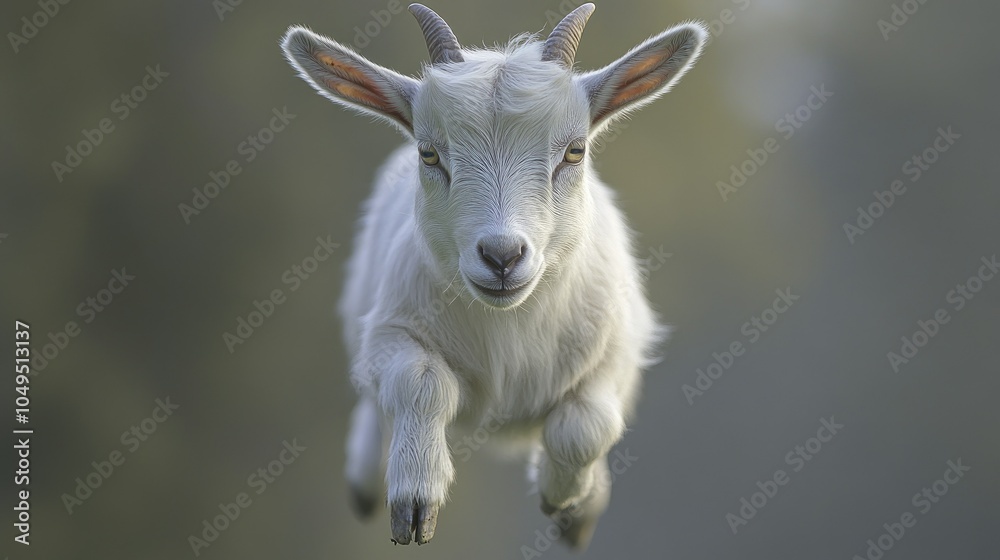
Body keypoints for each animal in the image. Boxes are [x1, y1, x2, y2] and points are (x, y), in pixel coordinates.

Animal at [281, 3, 706, 548]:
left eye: (575, 151)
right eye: (428, 153)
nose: (502, 256)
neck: (509, 327)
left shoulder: (619, 347)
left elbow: (586, 425)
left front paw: (564, 498)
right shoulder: (393, 329)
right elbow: (421, 385)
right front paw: (415, 502)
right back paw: (365, 479)